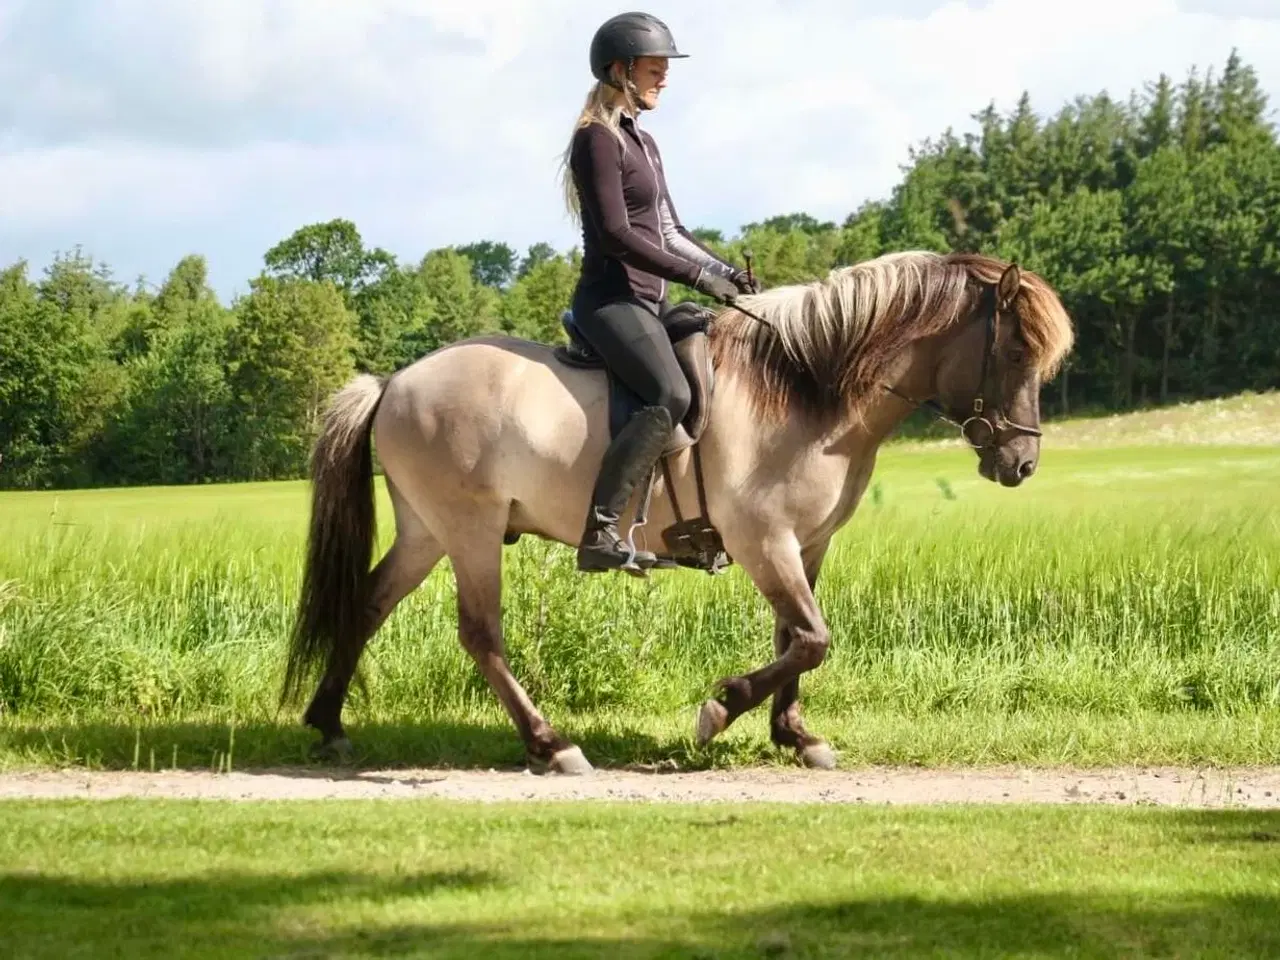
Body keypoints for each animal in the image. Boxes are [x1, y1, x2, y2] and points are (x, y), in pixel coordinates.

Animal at [282, 249, 1080, 773]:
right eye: (1015, 350)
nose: (1022, 463)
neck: (805, 387)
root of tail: (395, 382)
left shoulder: (806, 544)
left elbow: (799, 637)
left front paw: (796, 735)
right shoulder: (764, 541)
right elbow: (813, 638)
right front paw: (720, 709)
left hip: (427, 532)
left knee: (367, 605)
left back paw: (328, 725)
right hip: (470, 530)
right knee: (481, 635)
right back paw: (550, 744)